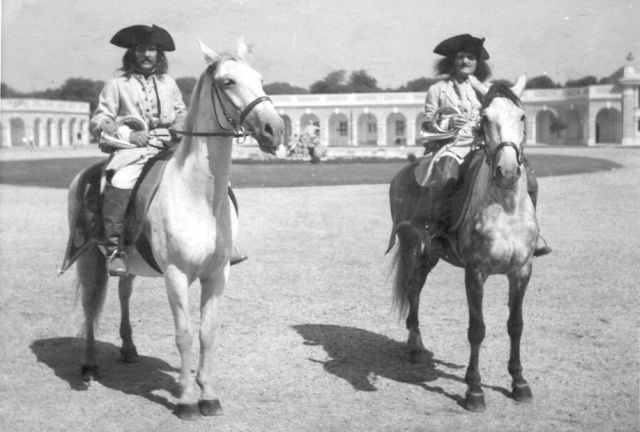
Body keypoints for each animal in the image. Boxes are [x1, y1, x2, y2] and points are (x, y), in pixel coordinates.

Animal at [64, 39, 282, 418]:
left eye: (259, 78)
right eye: (227, 81)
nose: (275, 128)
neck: (198, 195)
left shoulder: (217, 274)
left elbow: (207, 332)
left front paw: (207, 393)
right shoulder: (176, 274)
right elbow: (184, 334)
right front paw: (185, 399)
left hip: (127, 265)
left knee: (123, 294)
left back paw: (128, 348)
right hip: (90, 258)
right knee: (92, 306)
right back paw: (89, 366)